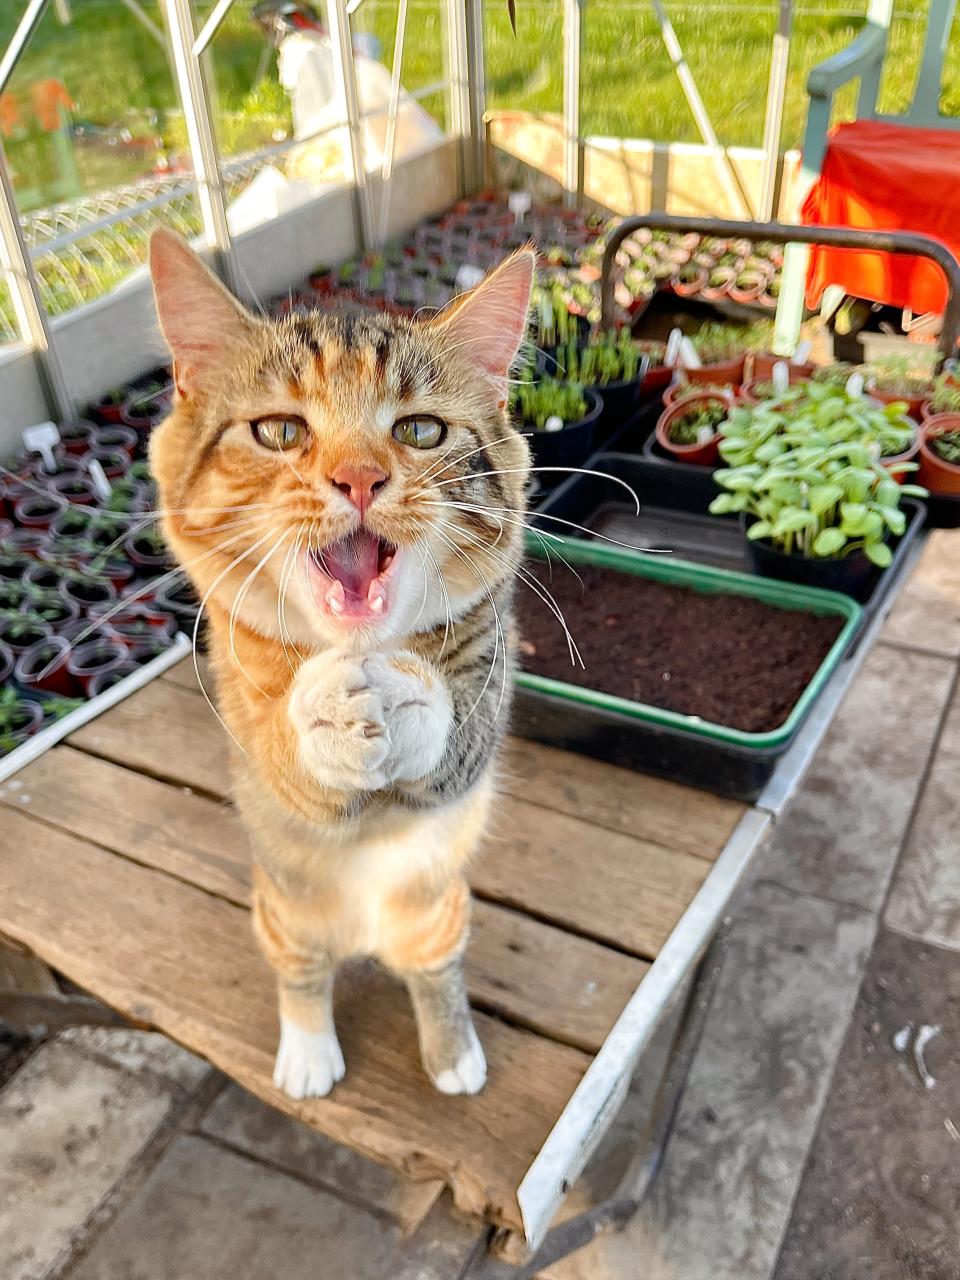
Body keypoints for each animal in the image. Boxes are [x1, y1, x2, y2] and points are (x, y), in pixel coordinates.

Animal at [148, 225, 535, 1095]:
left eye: (421, 430)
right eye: (279, 431)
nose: (359, 478)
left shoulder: (490, 679)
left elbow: (455, 744)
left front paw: (410, 695)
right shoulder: (241, 699)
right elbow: (287, 762)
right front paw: (325, 706)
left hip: (442, 910)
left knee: (433, 973)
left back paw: (452, 1051)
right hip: (281, 910)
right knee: (303, 972)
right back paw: (307, 1051)